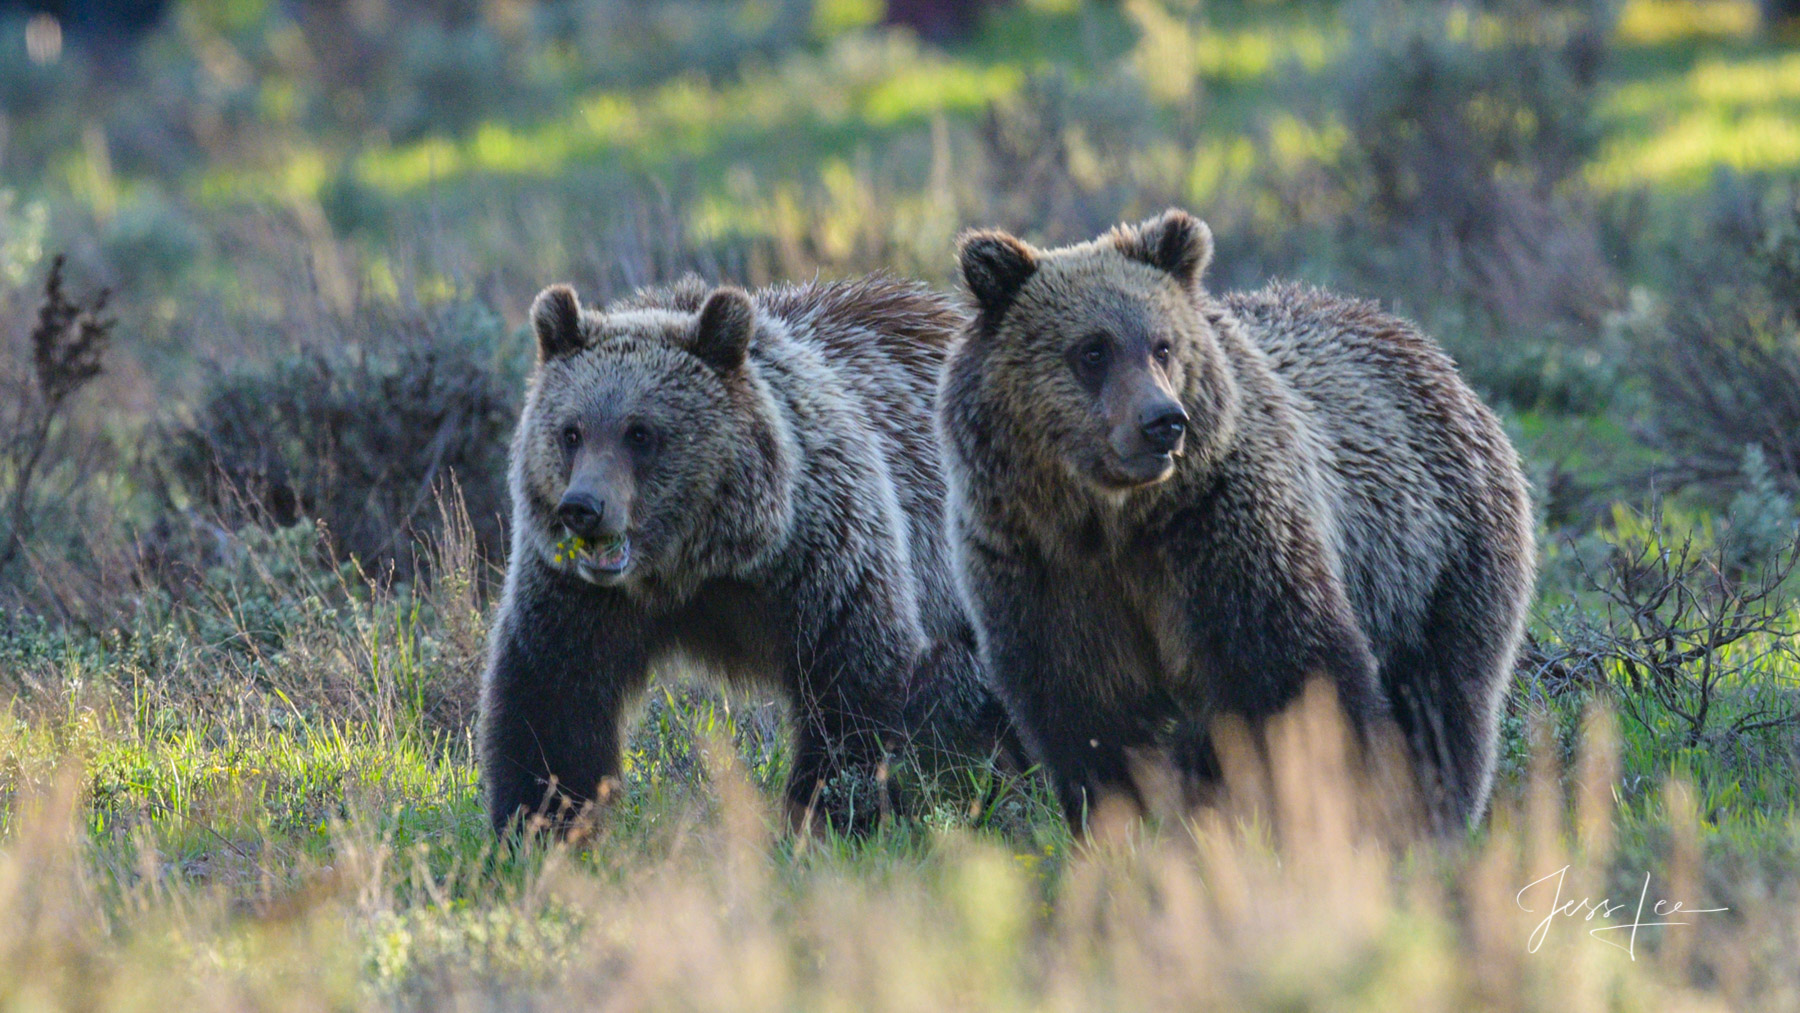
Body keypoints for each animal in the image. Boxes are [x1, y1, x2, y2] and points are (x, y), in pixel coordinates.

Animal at [486, 273, 1008, 834]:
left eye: (640, 432)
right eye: (571, 432)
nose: (582, 507)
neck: (698, 565)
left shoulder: (824, 560)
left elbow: (853, 690)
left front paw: (828, 813)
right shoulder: (581, 597)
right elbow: (553, 704)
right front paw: (540, 821)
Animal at [936, 210, 1540, 827]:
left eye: (1162, 346)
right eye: (1093, 350)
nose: (1163, 421)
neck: (1111, 522)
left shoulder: (1222, 539)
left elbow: (1305, 678)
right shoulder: (1042, 571)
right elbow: (1091, 725)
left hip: (1435, 563)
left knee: (1443, 702)